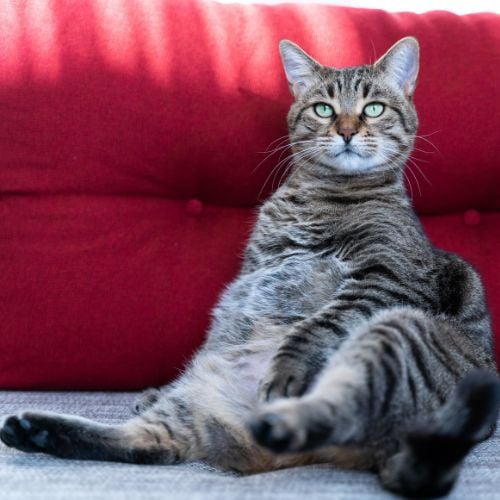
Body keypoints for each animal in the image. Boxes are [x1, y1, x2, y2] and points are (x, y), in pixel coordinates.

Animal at [0, 37, 500, 498]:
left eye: (373, 109)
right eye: (324, 109)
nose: (346, 131)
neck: (323, 192)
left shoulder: (389, 279)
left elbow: (315, 327)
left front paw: (283, 371)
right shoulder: (252, 277)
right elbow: (220, 334)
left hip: (394, 332)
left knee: (334, 406)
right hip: (194, 406)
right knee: (152, 442)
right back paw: (34, 430)